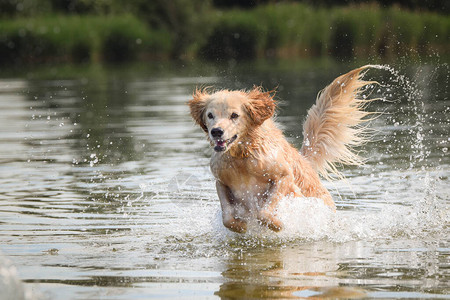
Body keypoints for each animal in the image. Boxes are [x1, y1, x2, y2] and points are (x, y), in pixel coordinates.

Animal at [188, 65, 374, 233]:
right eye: (210, 115)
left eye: (234, 115)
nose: (216, 131)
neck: (243, 156)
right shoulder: (220, 181)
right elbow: (226, 216)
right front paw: (240, 226)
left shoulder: (284, 177)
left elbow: (264, 211)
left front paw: (276, 225)